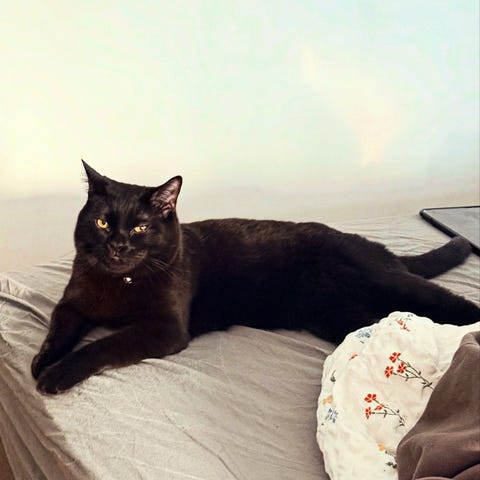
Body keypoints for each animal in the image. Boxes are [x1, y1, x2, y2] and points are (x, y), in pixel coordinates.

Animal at [32, 161, 479, 394]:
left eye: (141, 227)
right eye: (103, 222)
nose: (118, 245)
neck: (119, 283)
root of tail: (376, 247)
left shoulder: (165, 328)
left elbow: (101, 346)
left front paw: (56, 375)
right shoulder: (71, 305)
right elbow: (57, 331)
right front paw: (42, 361)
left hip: (387, 283)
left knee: (450, 303)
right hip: (338, 315)